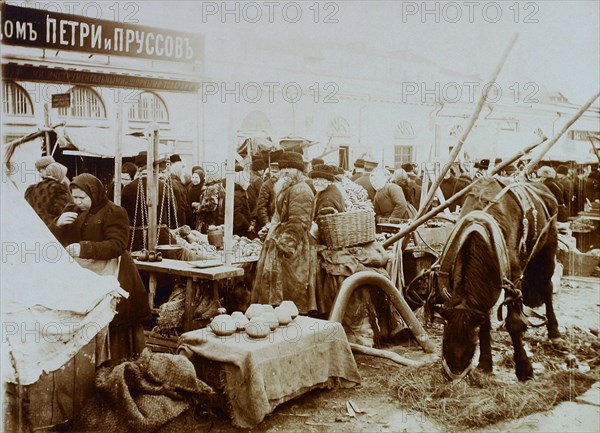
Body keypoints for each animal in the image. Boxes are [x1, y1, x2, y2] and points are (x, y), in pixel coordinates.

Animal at [424, 177, 560, 380]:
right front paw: (485, 363)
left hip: (548, 250)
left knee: (547, 287)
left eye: (470, 347)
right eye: (445, 341)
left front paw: (524, 367)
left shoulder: (514, 278)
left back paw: (554, 331)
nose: (452, 375)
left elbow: (513, 322)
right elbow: (485, 322)